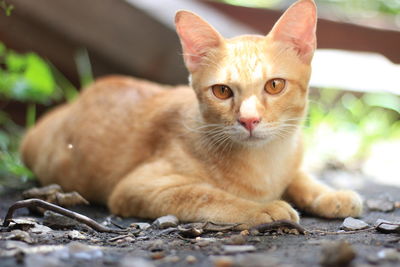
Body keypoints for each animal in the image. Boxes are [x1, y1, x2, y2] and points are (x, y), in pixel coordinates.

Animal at [20, 0, 362, 228]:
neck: (267, 161)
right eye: (222, 91)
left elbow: (301, 177)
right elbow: (207, 195)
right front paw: (262, 209)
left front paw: (329, 194)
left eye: (274, 85)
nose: (249, 120)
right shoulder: (136, 187)